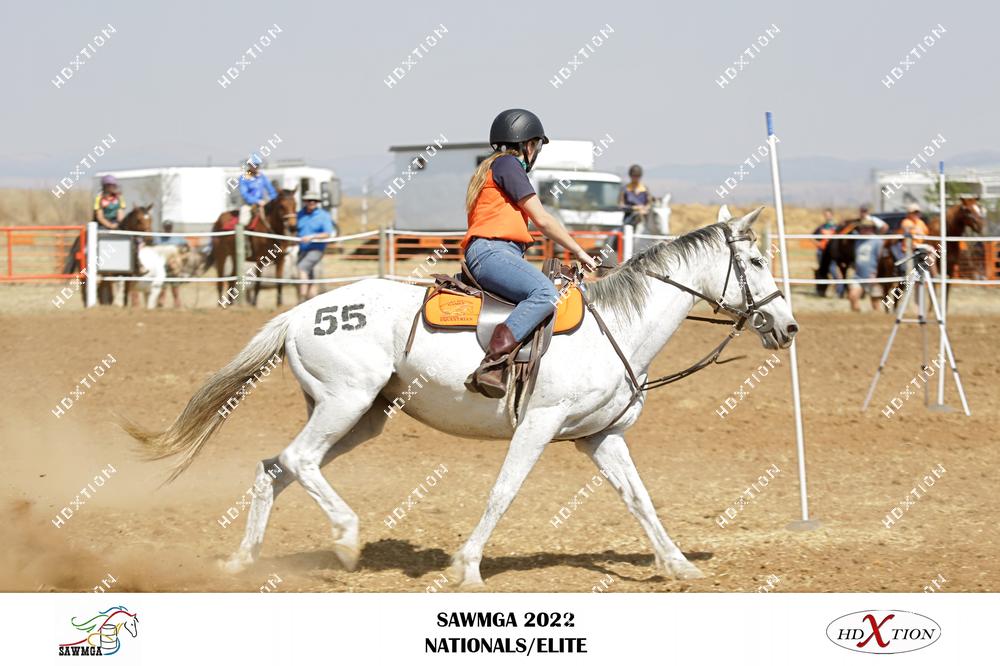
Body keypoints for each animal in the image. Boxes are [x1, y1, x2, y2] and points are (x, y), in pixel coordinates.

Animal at [123, 205, 797, 588]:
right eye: (756, 261)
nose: (788, 327)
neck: (616, 327)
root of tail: (299, 314)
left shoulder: (600, 438)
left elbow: (640, 500)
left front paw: (678, 565)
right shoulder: (539, 425)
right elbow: (503, 493)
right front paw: (468, 566)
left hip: (359, 417)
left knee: (274, 467)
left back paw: (243, 562)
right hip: (345, 404)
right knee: (297, 460)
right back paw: (345, 538)